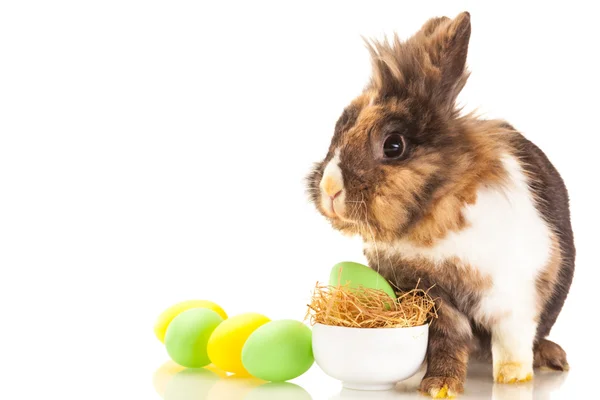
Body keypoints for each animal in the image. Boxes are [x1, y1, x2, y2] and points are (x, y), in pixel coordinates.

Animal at [308, 10, 576, 398]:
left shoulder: (513, 296)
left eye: (394, 145)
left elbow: (511, 339)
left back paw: (553, 358)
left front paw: (512, 378)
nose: (329, 189)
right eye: (338, 131)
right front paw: (439, 385)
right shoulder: (432, 297)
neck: (433, 208)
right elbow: (448, 340)